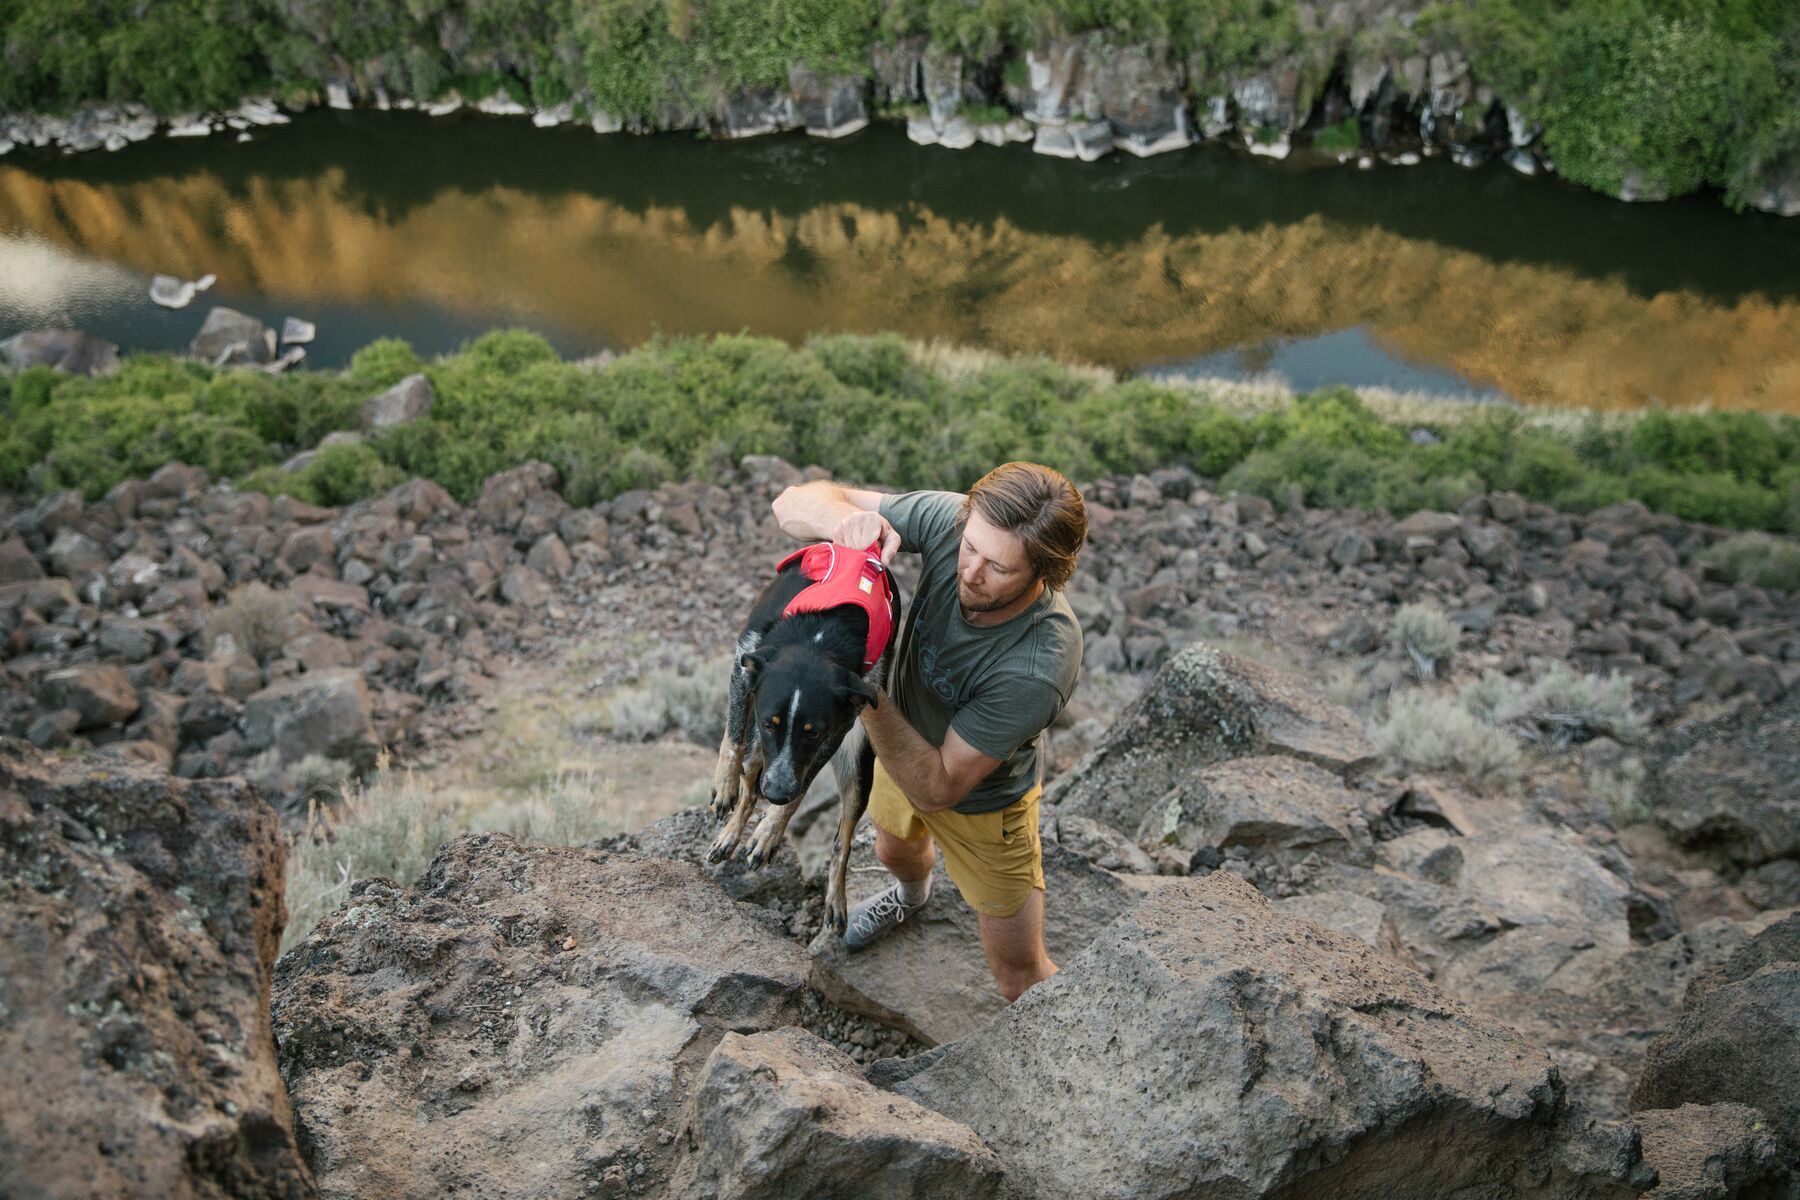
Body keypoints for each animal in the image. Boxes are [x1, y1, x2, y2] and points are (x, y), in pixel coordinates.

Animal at [702, 539, 900, 935]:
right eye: (770, 723)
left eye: (814, 732)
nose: (776, 792)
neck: (818, 636)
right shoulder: (744, 665)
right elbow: (733, 738)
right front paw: (726, 786)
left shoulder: (840, 725)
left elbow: (803, 788)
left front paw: (770, 830)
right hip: (761, 750)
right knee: (750, 777)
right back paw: (730, 834)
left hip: (858, 766)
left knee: (842, 840)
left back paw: (834, 898)